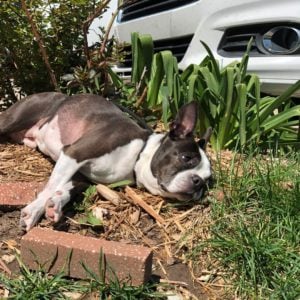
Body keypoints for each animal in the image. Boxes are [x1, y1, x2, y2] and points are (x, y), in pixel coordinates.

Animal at [0, 92, 211, 231]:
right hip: (14, 118)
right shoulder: (74, 153)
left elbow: (67, 189)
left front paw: (53, 205)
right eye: (186, 158)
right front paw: (34, 211)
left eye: (207, 180)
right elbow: (51, 186)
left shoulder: (80, 174)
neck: (137, 154)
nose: (198, 182)